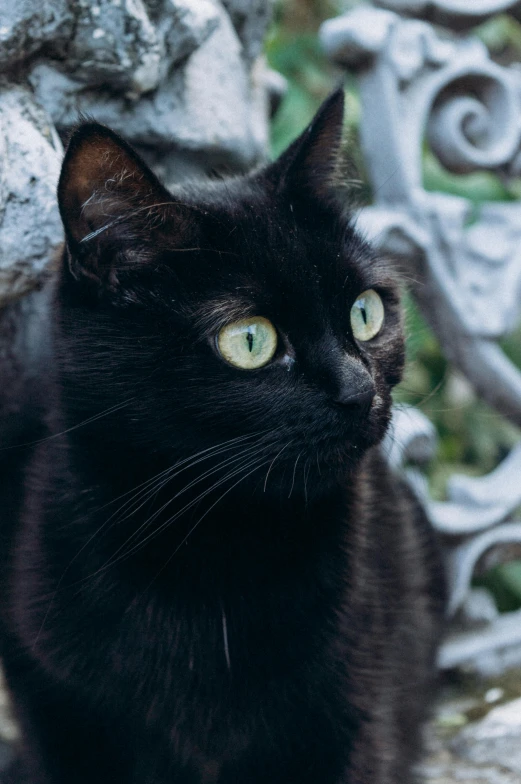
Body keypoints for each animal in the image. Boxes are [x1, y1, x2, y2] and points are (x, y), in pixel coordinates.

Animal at [0, 93, 444, 784]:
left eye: (365, 312)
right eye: (250, 339)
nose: (358, 390)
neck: (212, 546)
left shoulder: (350, 716)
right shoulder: (61, 709)